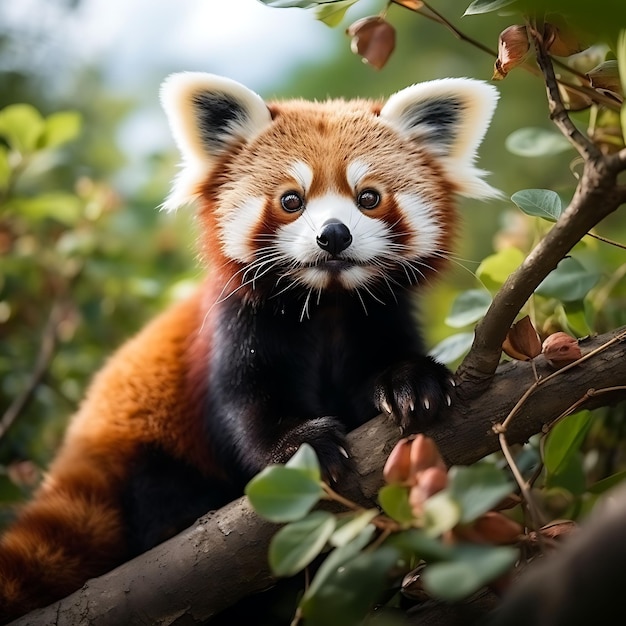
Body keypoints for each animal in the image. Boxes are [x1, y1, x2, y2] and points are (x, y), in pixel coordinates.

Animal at [0, 73, 498, 620]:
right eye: (291, 200)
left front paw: (412, 383)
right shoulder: (237, 328)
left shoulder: (378, 316)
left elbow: (381, 369)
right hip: (148, 446)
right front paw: (299, 445)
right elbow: (247, 403)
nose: (334, 235)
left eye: (368, 197)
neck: (326, 302)